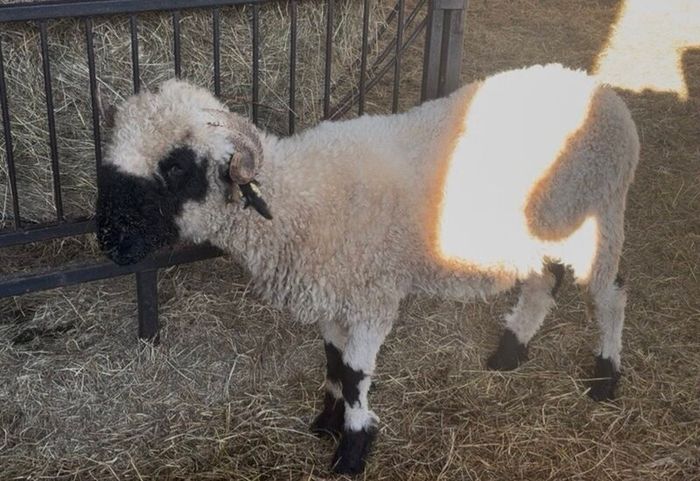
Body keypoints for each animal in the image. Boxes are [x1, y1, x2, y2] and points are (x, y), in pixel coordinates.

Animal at [96, 63, 640, 475]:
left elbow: (357, 375)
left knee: (610, 294)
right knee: (543, 283)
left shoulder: (371, 298)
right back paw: (510, 351)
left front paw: (353, 449)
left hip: (601, 216)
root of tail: (598, 89)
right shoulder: (332, 297)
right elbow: (334, 362)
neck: (300, 201)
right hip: (539, 229)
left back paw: (605, 375)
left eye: (177, 166)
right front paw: (328, 421)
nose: (109, 240)